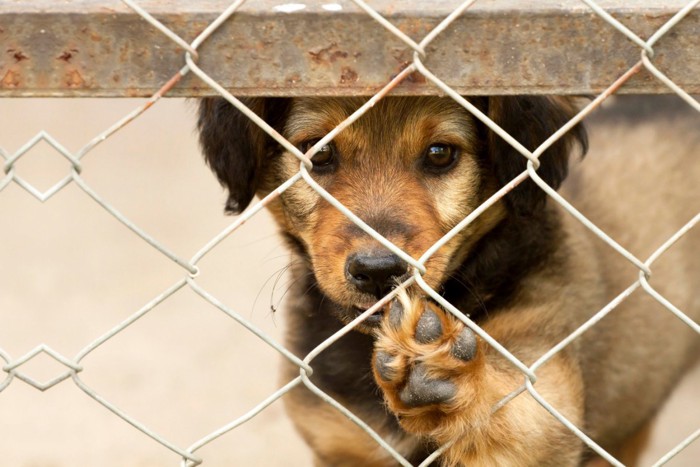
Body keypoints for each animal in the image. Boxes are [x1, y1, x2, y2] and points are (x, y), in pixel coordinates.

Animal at [197, 93, 700, 466]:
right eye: (318, 152)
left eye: (440, 154)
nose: (379, 272)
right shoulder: (341, 443)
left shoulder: (544, 395)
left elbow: (510, 413)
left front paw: (443, 372)